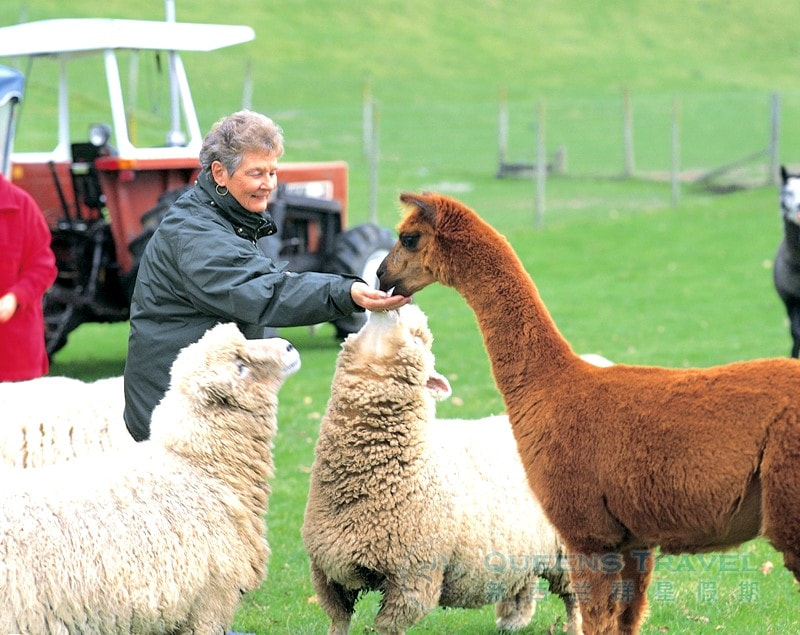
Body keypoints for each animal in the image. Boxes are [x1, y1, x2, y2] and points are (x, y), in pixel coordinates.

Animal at [300, 306, 580, 632]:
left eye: (417, 339)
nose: (404, 306)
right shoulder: (327, 573)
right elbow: (338, 622)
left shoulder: (413, 577)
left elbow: (387, 626)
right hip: (520, 547)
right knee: (523, 583)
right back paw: (511, 621)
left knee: (576, 599)